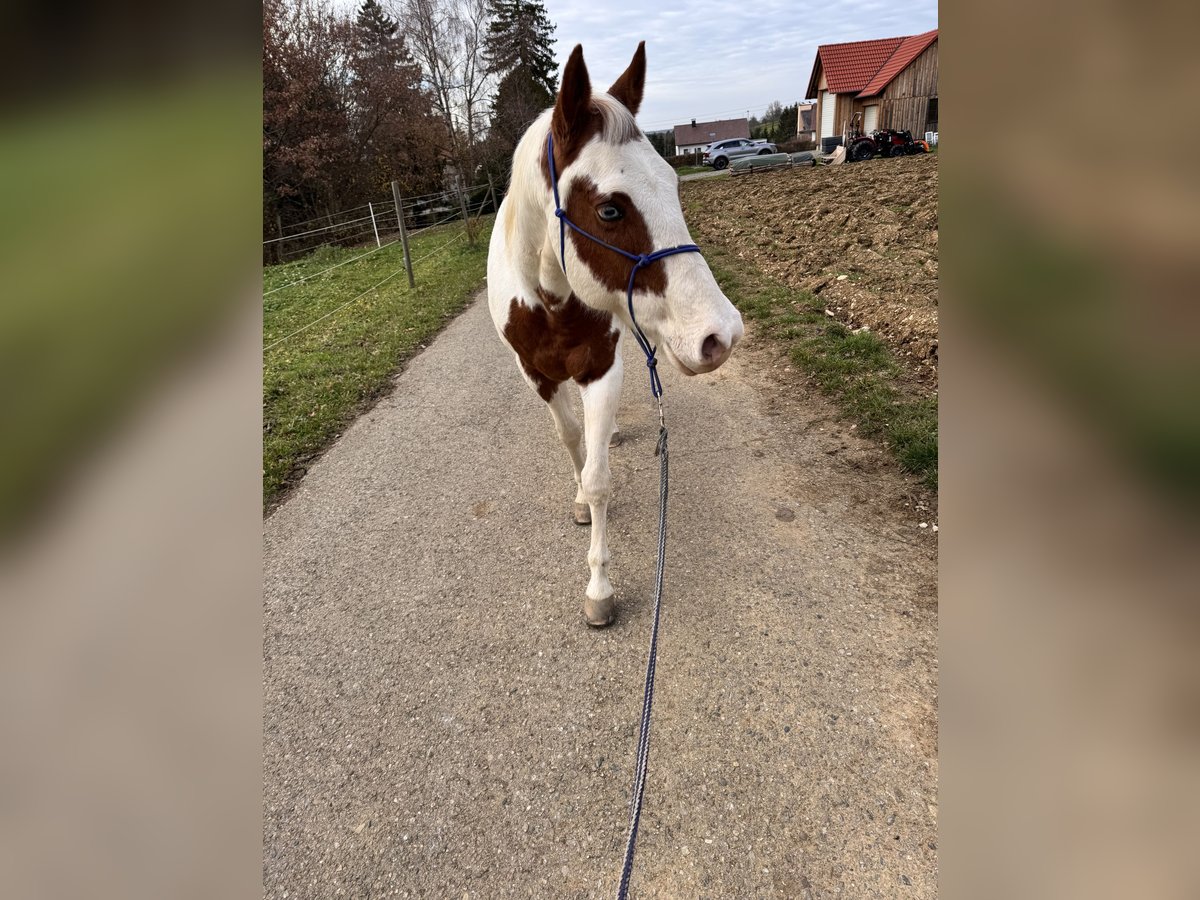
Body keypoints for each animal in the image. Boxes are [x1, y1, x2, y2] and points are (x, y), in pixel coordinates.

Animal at [487, 42, 744, 627]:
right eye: (609, 209)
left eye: (673, 184)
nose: (720, 335)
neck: (548, 300)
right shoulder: (537, 377)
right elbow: (572, 443)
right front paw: (581, 499)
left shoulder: (600, 368)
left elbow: (600, 474)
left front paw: (599, 586)